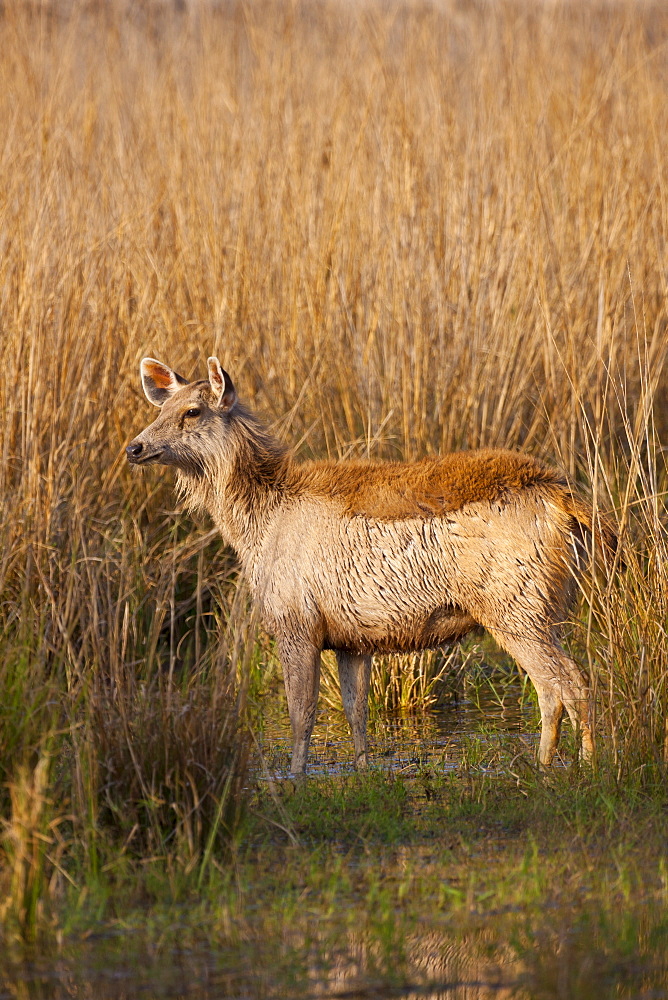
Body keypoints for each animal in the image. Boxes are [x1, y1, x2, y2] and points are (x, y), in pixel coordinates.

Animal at [125, 358, 616, 772]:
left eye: (192, 411)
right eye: (161, 406)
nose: (135, 447)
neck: (257, 525)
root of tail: (566, 502)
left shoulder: (294, 620)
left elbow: (301, 714)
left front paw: (295, 781)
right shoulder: (352, 638)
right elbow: (355, 711)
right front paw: (364, 772)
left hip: (514, 603)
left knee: (565, 683)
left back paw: (576, 767)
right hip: (545, 606)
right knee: (559, 685)